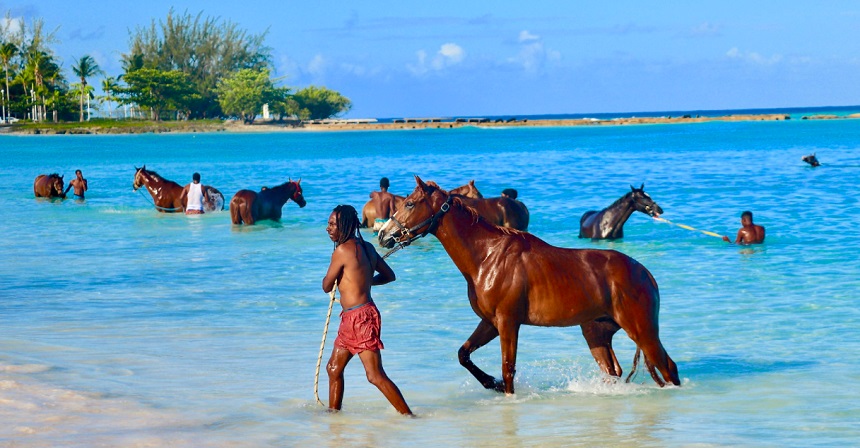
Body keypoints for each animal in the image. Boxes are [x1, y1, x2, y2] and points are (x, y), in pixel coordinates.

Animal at [380, 177, 680, 394]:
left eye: (410, 204)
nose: (384, 235)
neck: (487, 256)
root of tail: (644, 273)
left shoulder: (508, 322)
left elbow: (507, 369)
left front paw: (502, 388)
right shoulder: (490, 322)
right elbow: (464, 355)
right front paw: (492, 384)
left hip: (642, 330)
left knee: (668, 367)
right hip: (597, 332)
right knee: (613, 371)